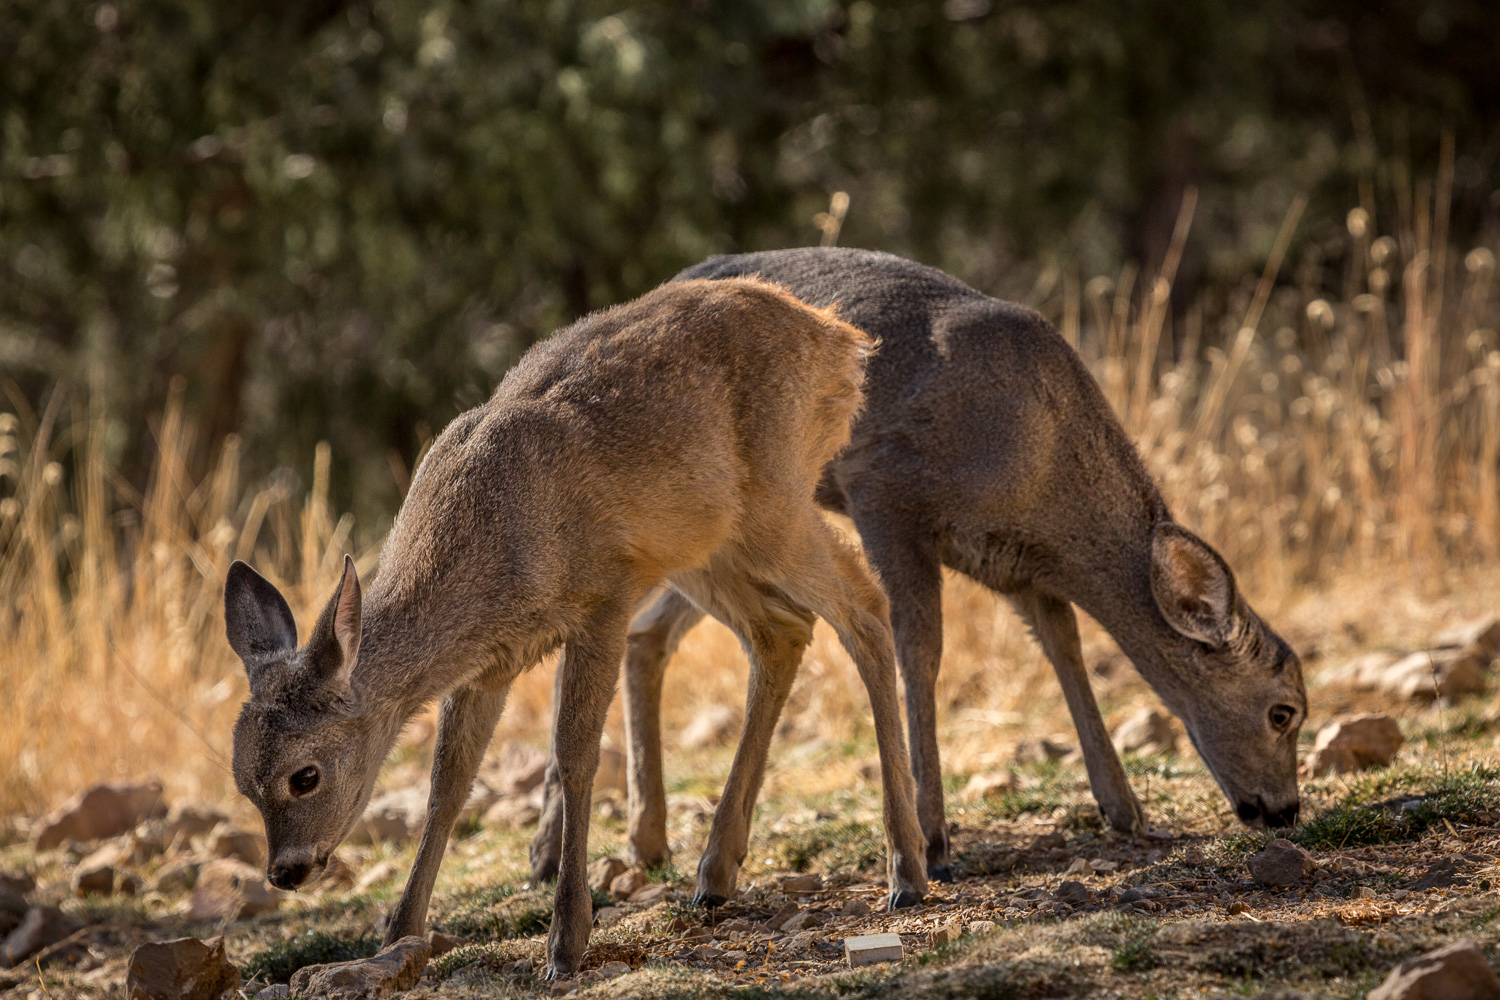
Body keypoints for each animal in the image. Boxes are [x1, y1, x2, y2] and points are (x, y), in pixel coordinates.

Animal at [223, 277, 928, 979]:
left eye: (304, 775)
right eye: (243, 781)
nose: (285, 872)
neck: (493, 542)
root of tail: (841, 342)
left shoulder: (604, 596)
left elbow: (574, 754)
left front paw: (566, 940)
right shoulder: (490, 663)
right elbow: (448, 782)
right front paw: (399, 931)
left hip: (773, 503)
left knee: (866, 606)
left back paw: (908, 869)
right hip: (703, 545)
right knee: (782, 630)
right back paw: (715, 874)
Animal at [532, 247, 1307, 885]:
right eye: (1283, 711)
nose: (1285, 810)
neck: (1037, 458)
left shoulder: (1019, 568)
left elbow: (1066, 650)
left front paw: (1125, 808)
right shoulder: (886, 491)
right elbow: (921, 652)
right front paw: (932, 839)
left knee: (646, 635)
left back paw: (639, 841)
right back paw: (554, 855)